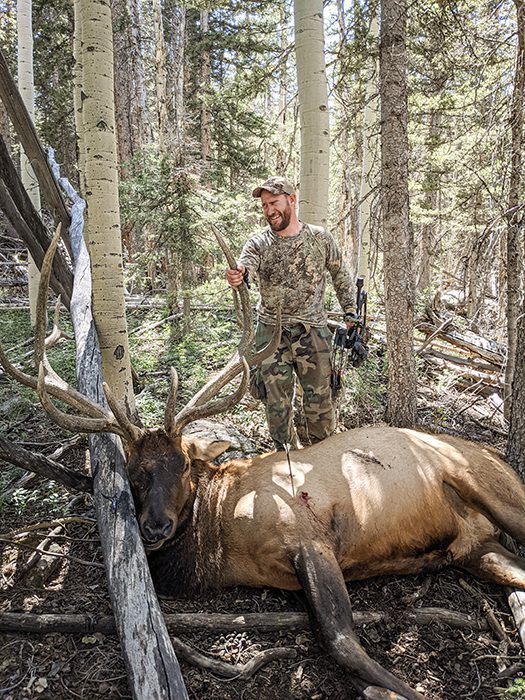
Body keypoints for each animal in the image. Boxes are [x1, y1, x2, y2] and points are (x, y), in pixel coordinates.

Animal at [2, 228, 525, 700]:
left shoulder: (310, 536)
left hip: (487, 485)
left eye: (185, 464)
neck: (220, 541)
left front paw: (401, 692)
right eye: (135, 472)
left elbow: (342, 642)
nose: (154, 525)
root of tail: (495, 454)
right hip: (479, 549)